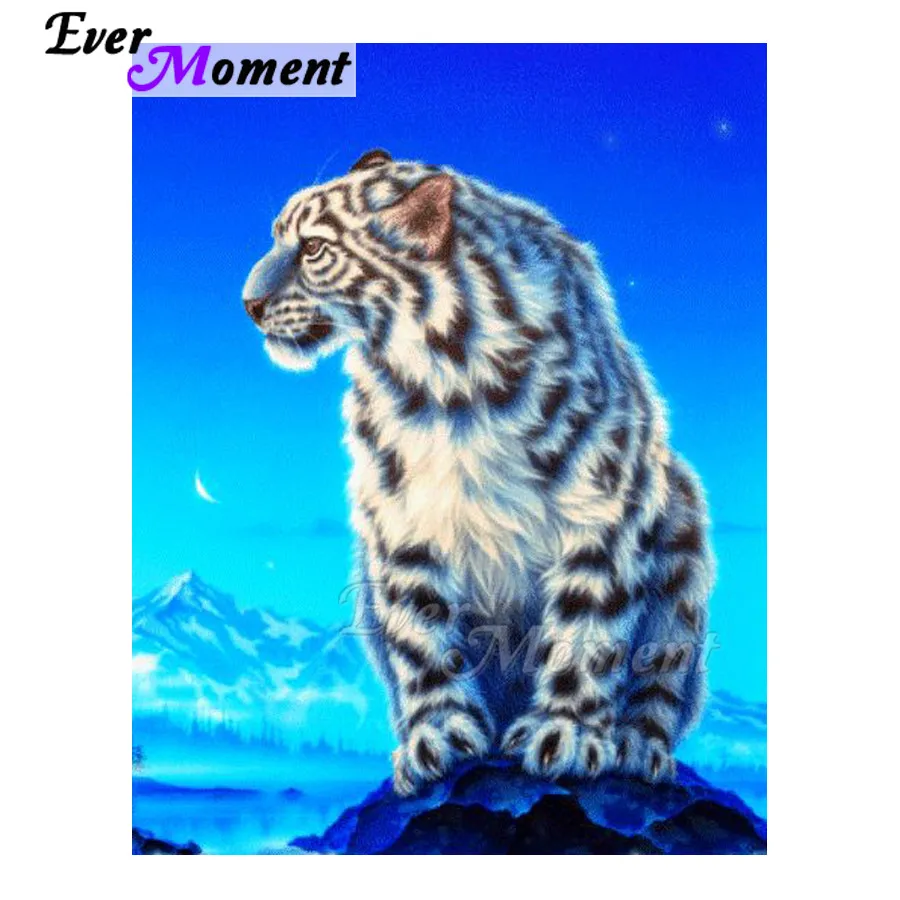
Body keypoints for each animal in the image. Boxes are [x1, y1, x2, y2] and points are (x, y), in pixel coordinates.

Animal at [242, 149, 715, 796]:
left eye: (314, 247)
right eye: (275, 237)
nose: (249, 303)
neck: (445, 388)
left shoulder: (602, 511)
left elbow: (588, 627)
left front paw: (565, 733)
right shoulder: (402, 520)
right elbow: (421, 632)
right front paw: (439, 737)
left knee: (663, 677)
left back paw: (640, 747)